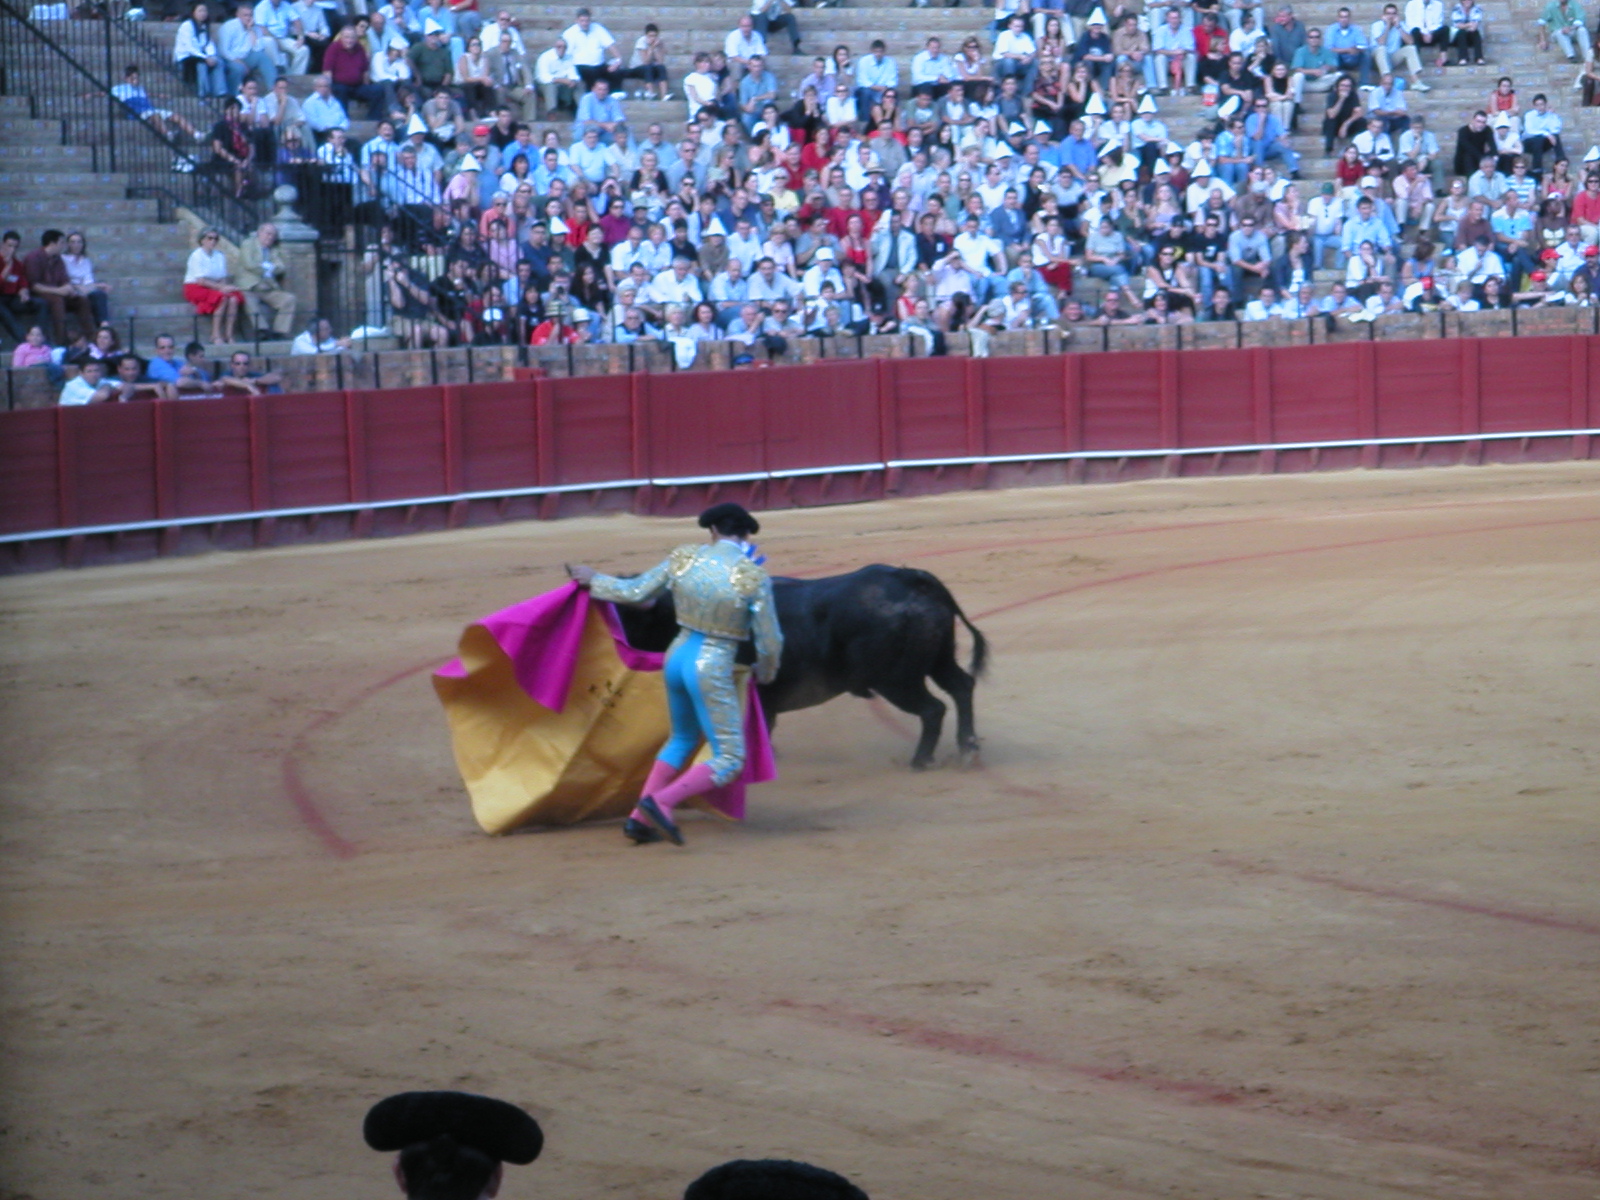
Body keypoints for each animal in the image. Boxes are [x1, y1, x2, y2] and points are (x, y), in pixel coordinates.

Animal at [614, 565, 987, 769]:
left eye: (632, 620)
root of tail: (911, 579)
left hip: (896, 680)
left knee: (933, 709)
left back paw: (921, 761)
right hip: (939, 659)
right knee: (962, 686)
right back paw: (968, 748)